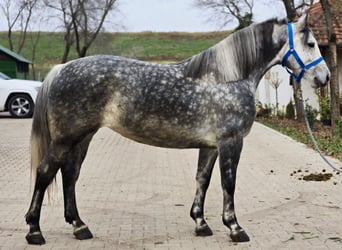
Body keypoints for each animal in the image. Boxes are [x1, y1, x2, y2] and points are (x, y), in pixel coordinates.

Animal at [25, 14, 330, 245]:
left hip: (83, 137)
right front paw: (235, 228)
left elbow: (202, 180)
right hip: (66, 139)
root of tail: (61, 68)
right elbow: (228, 183)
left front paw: (201, 223)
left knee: (69, 175)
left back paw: (79, 226)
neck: (227, 77)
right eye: (311, 43)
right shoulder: (231, 142)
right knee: (45, 172)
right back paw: (35, 231)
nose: (324, 77)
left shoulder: (210, 146)